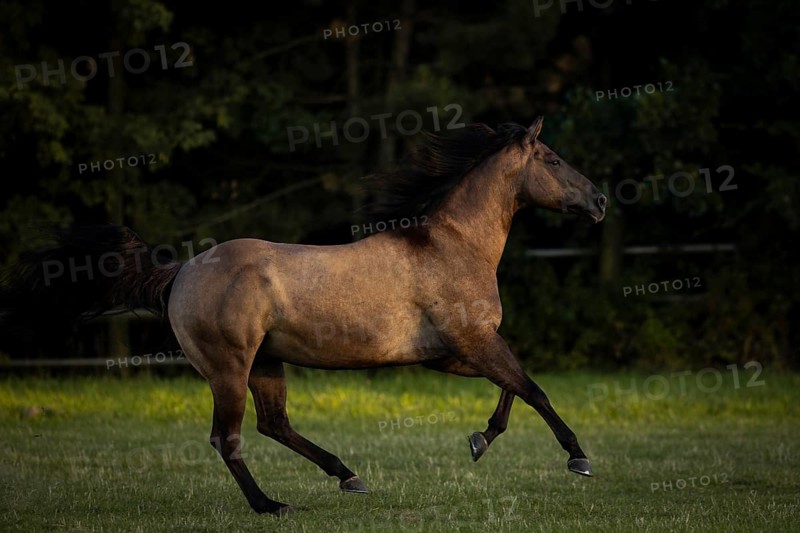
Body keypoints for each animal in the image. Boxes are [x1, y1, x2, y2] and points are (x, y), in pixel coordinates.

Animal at [1, 117, 606, 515]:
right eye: (553, 160)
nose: (600, 200)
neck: (450, 246)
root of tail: (180, 271)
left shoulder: (453, 351)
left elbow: (512, 388)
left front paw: (480, 440)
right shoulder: (472, 342)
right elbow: (533, 389)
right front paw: (578, 459)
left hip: (267, 364)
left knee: (273, 425)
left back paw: (348, 477)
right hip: (229, 369)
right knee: (229, 438)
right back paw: (270, 505)